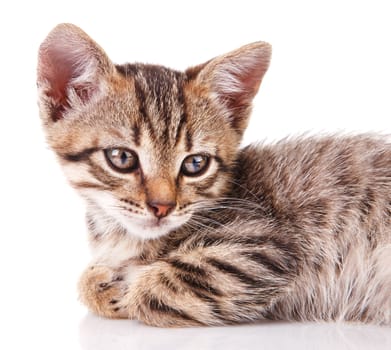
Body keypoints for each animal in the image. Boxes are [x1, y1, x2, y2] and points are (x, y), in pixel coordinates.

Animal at [37, 23, 391, 326]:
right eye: (122, 158)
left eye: (195, 164)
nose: (162, 207)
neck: (121, 237)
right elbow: (87, 279)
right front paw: (100, 281)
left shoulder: (262, 247)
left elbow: (152, 289)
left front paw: (124, 286)